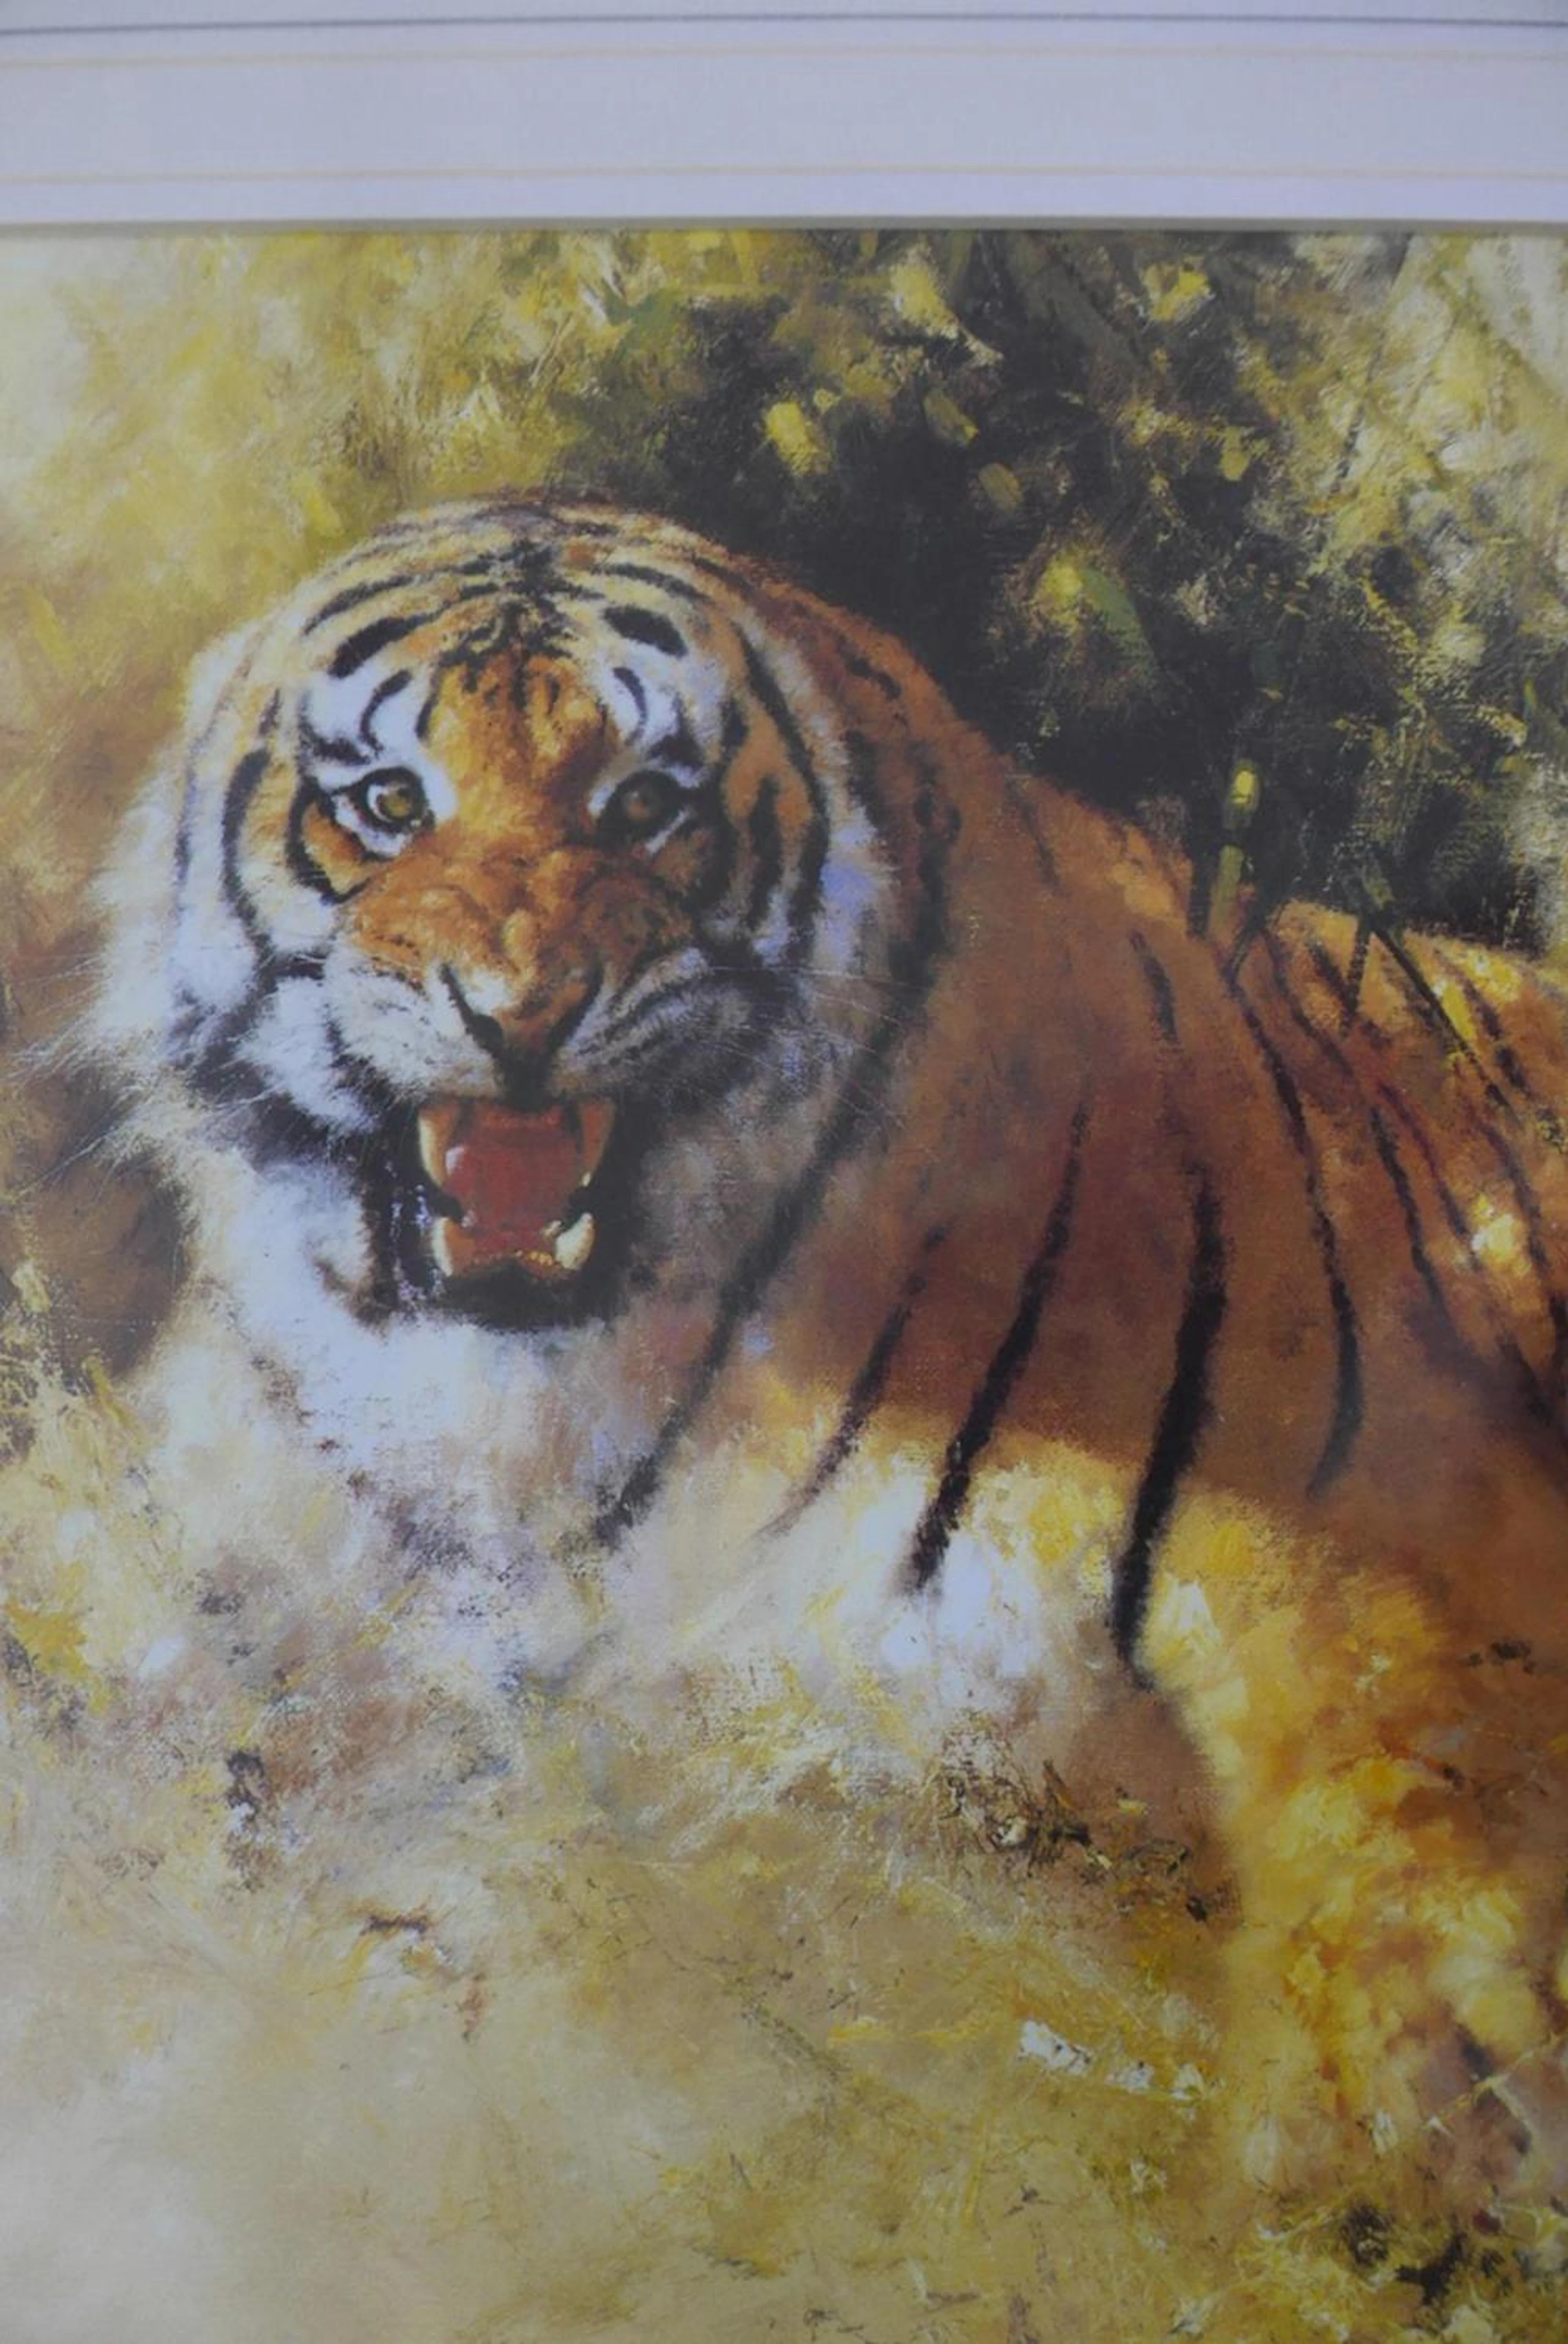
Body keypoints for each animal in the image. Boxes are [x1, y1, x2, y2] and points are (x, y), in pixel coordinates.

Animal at [85, 493, 1568, 2197]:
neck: (515, 1425)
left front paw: (1403, 2080)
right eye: (388, 804)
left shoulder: (1183, 1528)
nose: (519, 1012)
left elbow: (1374, 1693)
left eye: (646, 806)